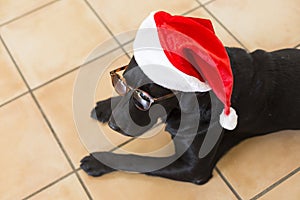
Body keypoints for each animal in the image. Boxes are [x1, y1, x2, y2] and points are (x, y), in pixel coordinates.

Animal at [79, 47, 300, 184]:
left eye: (144, 97)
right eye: (122, 83)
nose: (113, 126)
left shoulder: (194, 168)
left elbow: (136, 161)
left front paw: (98, 161)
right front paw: (106, 106)